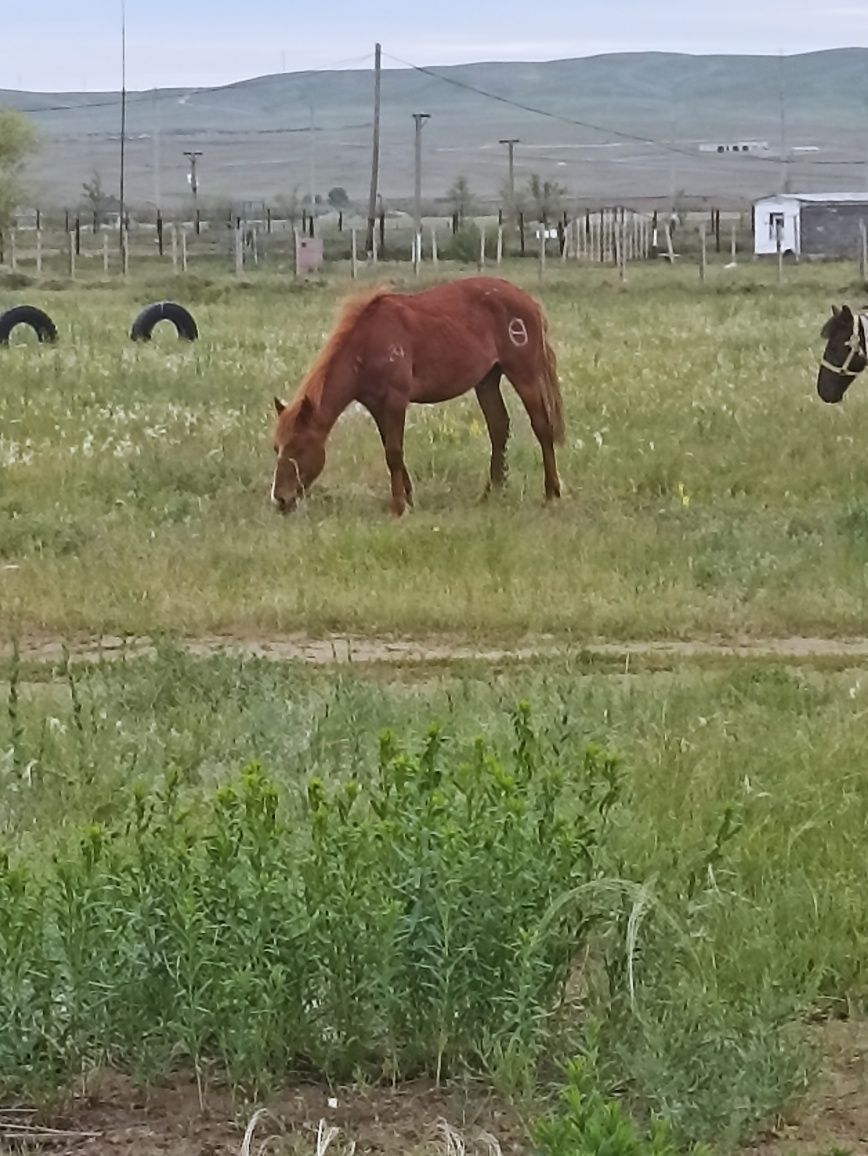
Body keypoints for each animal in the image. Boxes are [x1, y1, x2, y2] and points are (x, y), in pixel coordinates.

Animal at [272, 275, 570, 515]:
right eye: (276, 447)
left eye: (298, 448)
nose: (280, 500)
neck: (367, 341)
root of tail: (529, 302)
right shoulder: (376, 406)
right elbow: (392, 450)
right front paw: (408, 498)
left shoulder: (395, 400)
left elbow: (393, 452)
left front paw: (398, 506)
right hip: (487, 379)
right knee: (498, 427)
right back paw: (491, 493)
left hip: (524, 373)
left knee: (542, 426)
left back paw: (551, 492)